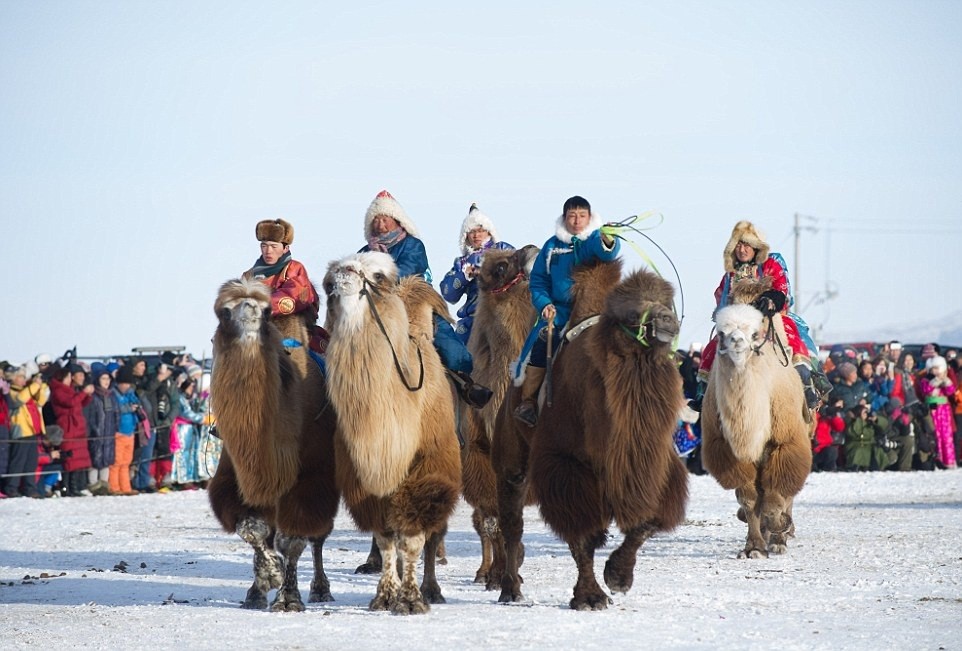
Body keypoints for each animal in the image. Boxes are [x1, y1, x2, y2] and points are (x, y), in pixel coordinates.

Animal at [204, 278, 340, 612]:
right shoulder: (238, 478)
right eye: (224, 311)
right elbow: (254, 530)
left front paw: (288, 598)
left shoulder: (311, 478)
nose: (251, 309)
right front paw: (263, 582)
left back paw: (321, 589)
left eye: (267, 311)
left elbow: (292, 540)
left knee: (318, 536)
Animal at [318, 251, 462, 616]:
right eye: (327, 283)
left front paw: (411, 599)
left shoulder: (428, 472)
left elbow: (412, 539)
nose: (343, 275)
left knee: (433, 536)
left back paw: (432, 589)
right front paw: (385, 595)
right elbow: (385, 540)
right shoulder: (364, 482)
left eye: (378, 276)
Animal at [520, 262, 688, 612]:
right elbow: (582, 535)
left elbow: (646, 521)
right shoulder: (565, 465)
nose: (666, 320)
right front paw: (590, 596)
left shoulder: (657, 466)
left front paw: (619, 576)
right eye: (631, 314)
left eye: (666, 301)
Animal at [696, 278, 808, 556]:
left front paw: (779, 530)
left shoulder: (785, 441)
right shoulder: (730, 450)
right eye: (722, 333)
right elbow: (749, 498)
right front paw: (754, 547)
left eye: (755, 333)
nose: (736, 341)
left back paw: (782, 532)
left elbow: (777, 491)